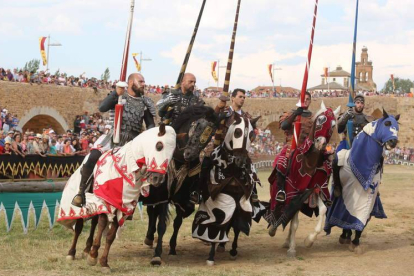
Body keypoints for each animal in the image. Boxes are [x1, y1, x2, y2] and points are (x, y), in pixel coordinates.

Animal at [57, 124, 175, 272]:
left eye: (172, 152)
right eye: (159, 146)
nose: (157, 179)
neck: (126, 166)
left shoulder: (121, 206)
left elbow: (110, 235)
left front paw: (103, 262)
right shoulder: (107, 200)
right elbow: (102, 224)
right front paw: (93, 256)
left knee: (94, 222)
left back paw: (87, 248)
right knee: (79, 225)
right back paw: (72, 252)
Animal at [141, 105, 222, 266]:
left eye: (211, 134)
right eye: (197, 125)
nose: (189, 154)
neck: (178, 159)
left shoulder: (184, 198)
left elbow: (178, 221)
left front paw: (172, 248)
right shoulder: (164, 196)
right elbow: (161, 225)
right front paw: (157, 255)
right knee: (151, 212)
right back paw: (149, 238)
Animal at [192, 111, 260, 266]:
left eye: (251, 135)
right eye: (237, 132)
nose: (240, 160)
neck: (232, 170)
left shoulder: (241, 202)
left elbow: (237, 226)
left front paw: (233, 251)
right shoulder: (221, 201)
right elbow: (217, 225)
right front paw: (211, 256)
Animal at [266, 102, 340, 258]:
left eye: (333, 125)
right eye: (320, 119)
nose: (320, 143)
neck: (308, 163)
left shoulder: (314, 191)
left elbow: (323, 210)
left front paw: (309, 241)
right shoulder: (295, 195)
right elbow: (294, 223)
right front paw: (292, 249)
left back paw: (287, 241)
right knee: (280, 210)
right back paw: (275, 230)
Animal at [326, 109, 400, 253]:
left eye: (397, 126)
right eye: (387, 123)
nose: (393, 142)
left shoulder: (370, 200)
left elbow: (362, 220)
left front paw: (355, 242)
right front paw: (347, 236)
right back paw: (344, 236)